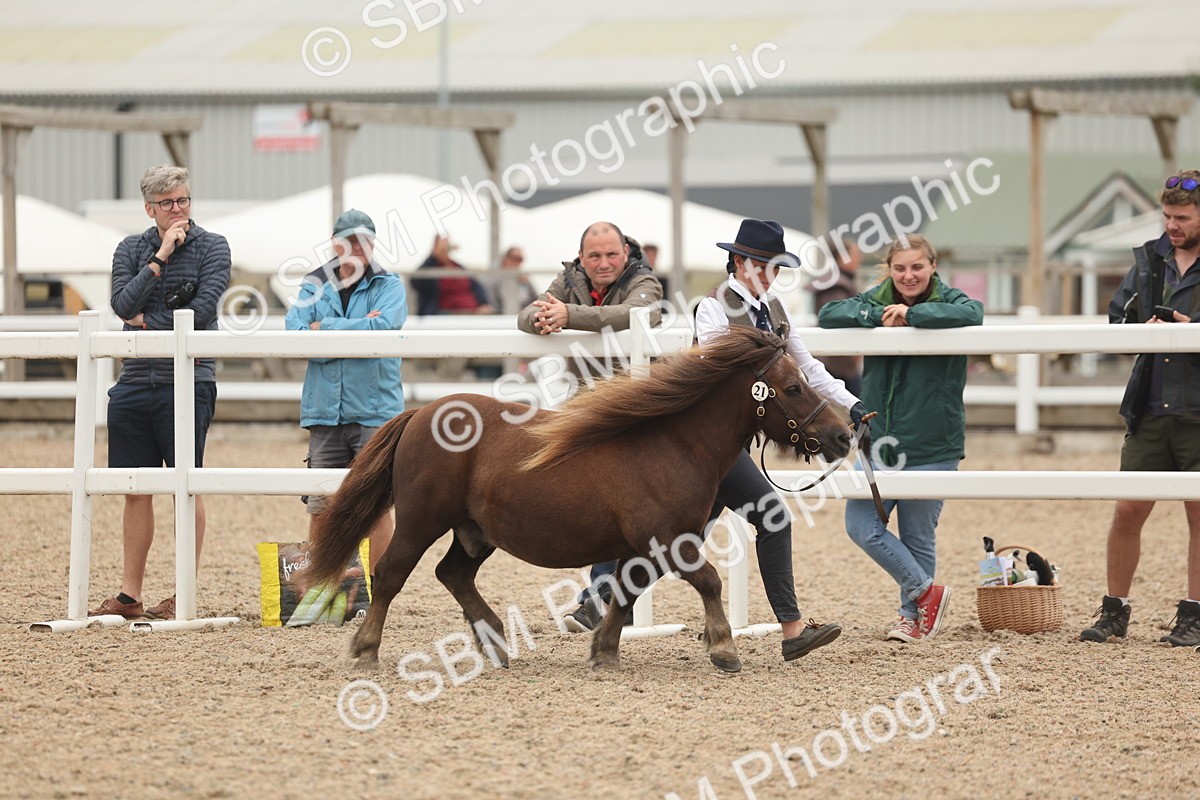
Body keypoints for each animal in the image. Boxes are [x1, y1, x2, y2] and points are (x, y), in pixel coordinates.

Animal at [302, 326, 853, 673]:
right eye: (793, 387)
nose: (844, 435)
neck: (674, 443)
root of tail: (421, 412)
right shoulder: (671, 542)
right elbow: (709, 582)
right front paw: (723, 649)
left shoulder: (644, 548)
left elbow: (625, 594)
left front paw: (604, 651)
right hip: (421, 521)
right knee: (391, 575)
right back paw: (366, 650)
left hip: (476, 533)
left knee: (452, 574)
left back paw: (496, 642)